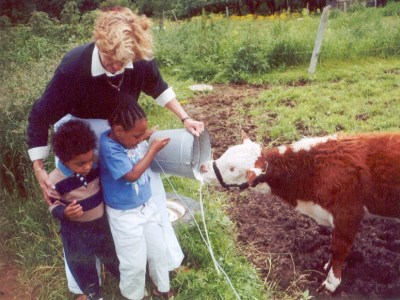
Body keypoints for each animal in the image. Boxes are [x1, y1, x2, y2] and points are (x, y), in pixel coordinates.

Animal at [202, 131, 400, 292]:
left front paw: (331, 283)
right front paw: (327, 266)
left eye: (233, 169)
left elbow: (338, 249)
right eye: (226, 153)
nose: (203, 167)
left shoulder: (348, 214)